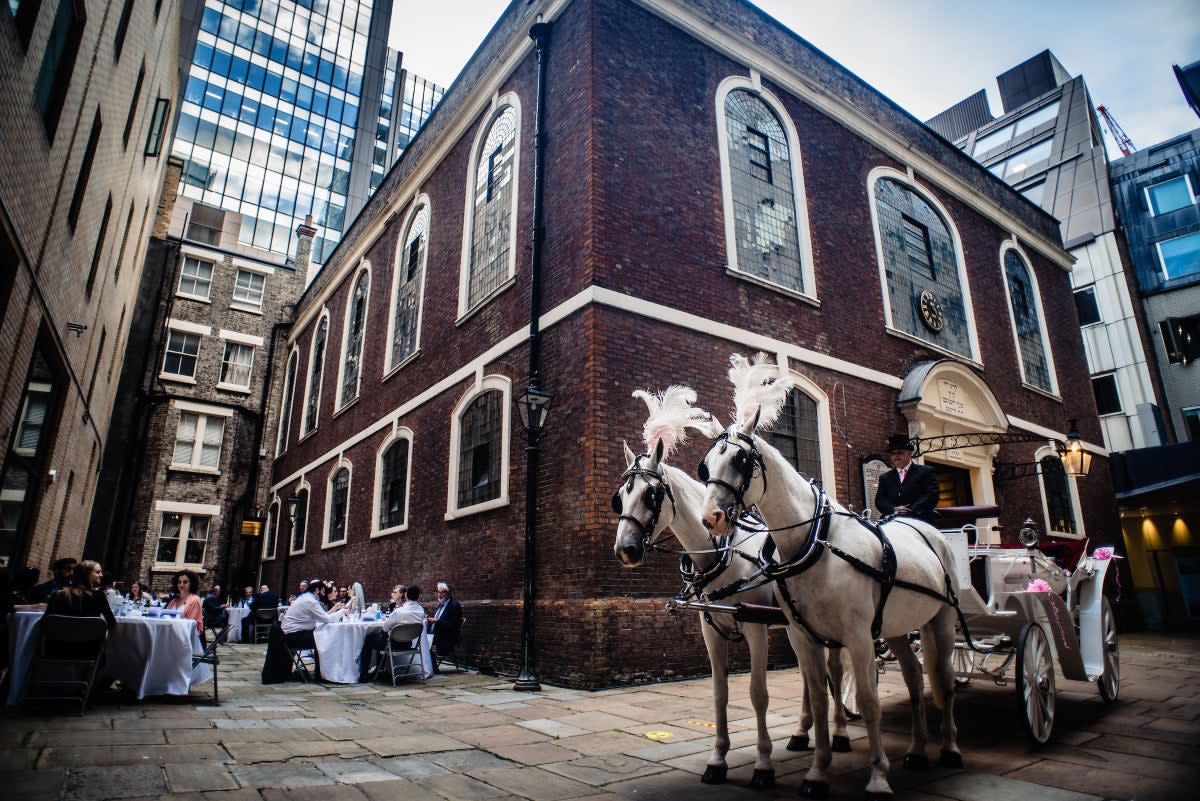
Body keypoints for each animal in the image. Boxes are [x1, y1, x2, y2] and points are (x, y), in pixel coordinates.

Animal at [609, 386, 854, 786]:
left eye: (651, 495)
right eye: (619, 498)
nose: (625, 550)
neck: (721, 555)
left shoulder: (755, 628)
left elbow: (758, 694)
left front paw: (763, 764)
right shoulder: (712, 631)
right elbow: (719, 694)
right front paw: (718, 759)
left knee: (833, 671)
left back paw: (840, 733)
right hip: (794, 626)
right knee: (808, 675)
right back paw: (802, 733)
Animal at [700, 357, 960, 801]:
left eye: (740, 461)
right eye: (706, 465)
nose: (711, 518)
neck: (813, 542)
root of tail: (921, 526)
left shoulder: (857, 634)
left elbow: (869, 701)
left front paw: (877, 776)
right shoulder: (804, 634)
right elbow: (821, 697)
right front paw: (817, 772)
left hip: (940, 620)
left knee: (944, 677)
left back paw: (950, 748)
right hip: (895, 627)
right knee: (913, 678)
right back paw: (917, 750)